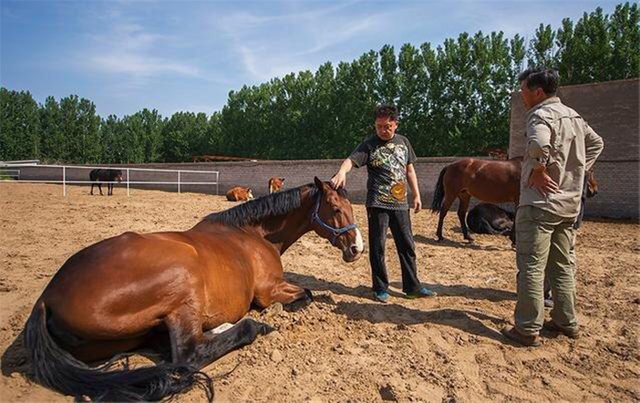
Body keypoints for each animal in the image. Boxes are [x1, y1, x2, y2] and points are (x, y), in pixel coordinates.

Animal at [23, 178, 364, 402]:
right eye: (335, 208)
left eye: (350, 206)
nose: (357, 248)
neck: (254, 234)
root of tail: (47, 298)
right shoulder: (268, 291)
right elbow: (306, 295)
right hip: (182, 282)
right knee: (191, 352)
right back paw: (244, 326)